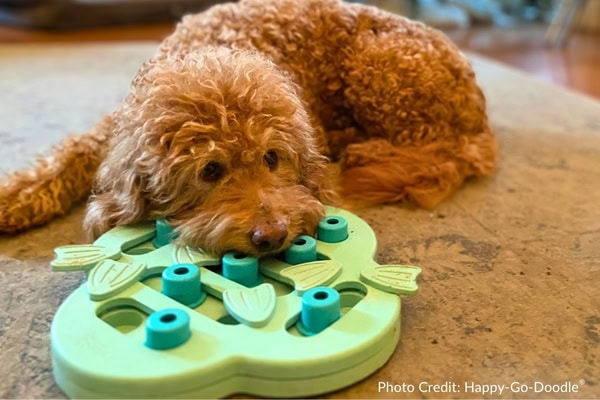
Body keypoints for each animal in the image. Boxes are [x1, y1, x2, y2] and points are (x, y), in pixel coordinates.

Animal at [0, 0, 496, 256]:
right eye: (210, 171)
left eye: (271, 158)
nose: (272, 236)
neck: (214, 51)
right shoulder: (114, 129)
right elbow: (66, 157)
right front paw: (15, 197)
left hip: (380, 69)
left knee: (434, 146)